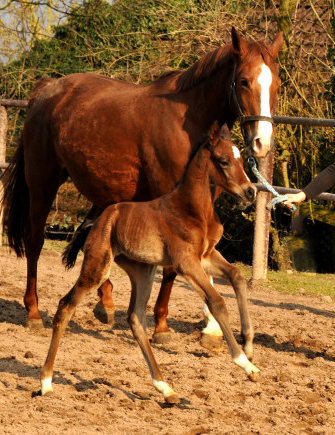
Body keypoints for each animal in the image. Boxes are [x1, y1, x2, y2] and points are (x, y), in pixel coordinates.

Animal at [40, 123, 260, 406]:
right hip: (97, 267)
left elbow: (237, 276)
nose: (250, 192)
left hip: (143, 271)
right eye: (223, 161)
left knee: (135, 317)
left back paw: (166, 388)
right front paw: (246, 364)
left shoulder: (206, 256)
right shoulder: (186, 262)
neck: (192, 209)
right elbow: (217, 301)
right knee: (66, 306)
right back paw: (45, 383)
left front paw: (250, 346)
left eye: (242, 160)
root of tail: (97, 220)